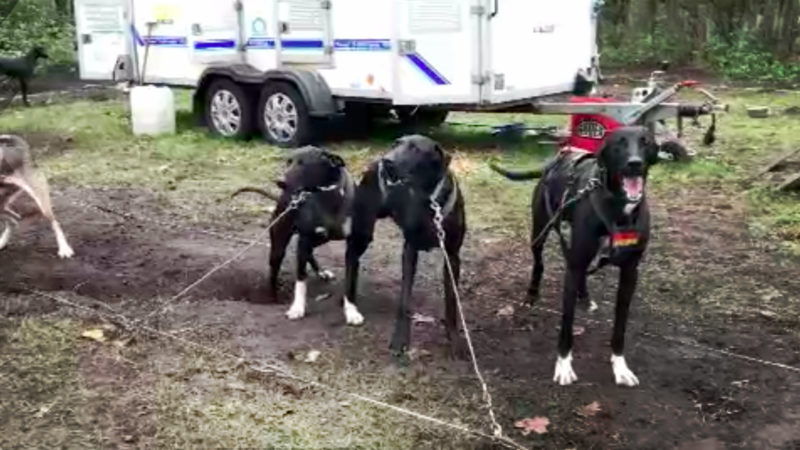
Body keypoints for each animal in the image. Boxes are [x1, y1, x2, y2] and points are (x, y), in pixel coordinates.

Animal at [233, 146, 354, 322]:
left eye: (303, 163)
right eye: (288, 161)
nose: (279, 181)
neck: (328, 197)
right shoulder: (304, 240)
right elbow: (301, 280)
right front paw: (297, 308)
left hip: (320, 239)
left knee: (310, 253)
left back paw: (321, 272)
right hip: (279, 244)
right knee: (274, 272)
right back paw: (273, 297)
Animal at [342, 134, 462, 358]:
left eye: (415, 149)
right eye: (395, 144)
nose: (386, 161)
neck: (429, 200)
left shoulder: (452, 256)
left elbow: (451, 303)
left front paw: (455, 341)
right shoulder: (410, 250)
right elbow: (405, 300)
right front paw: (400, 338)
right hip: (364, 229)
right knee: (350, 256)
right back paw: (349, 303)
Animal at [494, 126, 656, 386]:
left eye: (646, 142)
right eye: (619, 143)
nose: (635, 163)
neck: (617, 209)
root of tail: (553, 162)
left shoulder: (630, 272)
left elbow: (620, 326)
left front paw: (620, 366)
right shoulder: (573, 266)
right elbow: (566, 325)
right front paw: (563, 365)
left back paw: (585, 297)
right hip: (539, 232)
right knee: (539, 264)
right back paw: (532, 295)